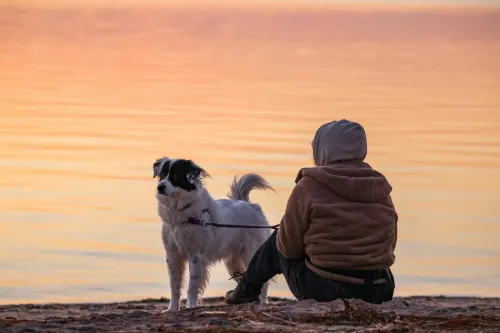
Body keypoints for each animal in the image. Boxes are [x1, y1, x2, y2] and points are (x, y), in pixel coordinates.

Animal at [154, 157, 276, 310]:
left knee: (262, 281)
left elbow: (192, 286)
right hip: (233, 263)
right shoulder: (172, 255)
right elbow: (174, 286)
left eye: (176, 175)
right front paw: (172, 309)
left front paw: (191, 306)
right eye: (163, 174)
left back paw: (262, 303)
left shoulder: (195, 256)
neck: (180, 212)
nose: (160, 187)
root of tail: (249, 204)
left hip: (251, 253)